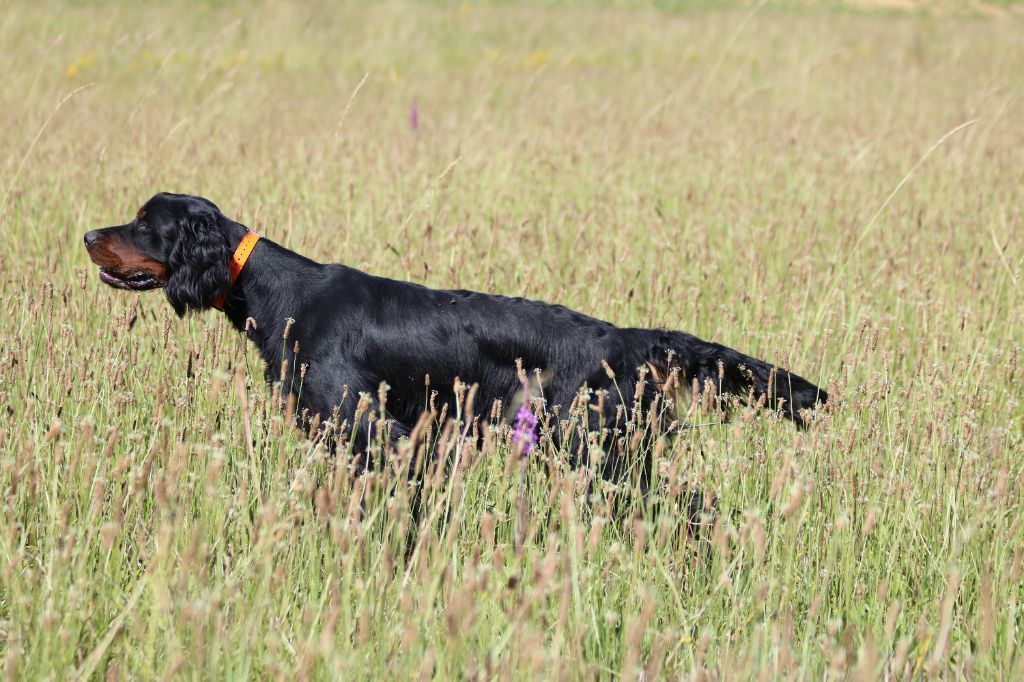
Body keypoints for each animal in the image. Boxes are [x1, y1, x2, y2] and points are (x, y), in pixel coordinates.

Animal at [83, 188, 827, 471]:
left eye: (147, 224)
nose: (89, 235)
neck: (276, 291)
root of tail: (625, 339)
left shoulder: (367, 429)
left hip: (589, 446)